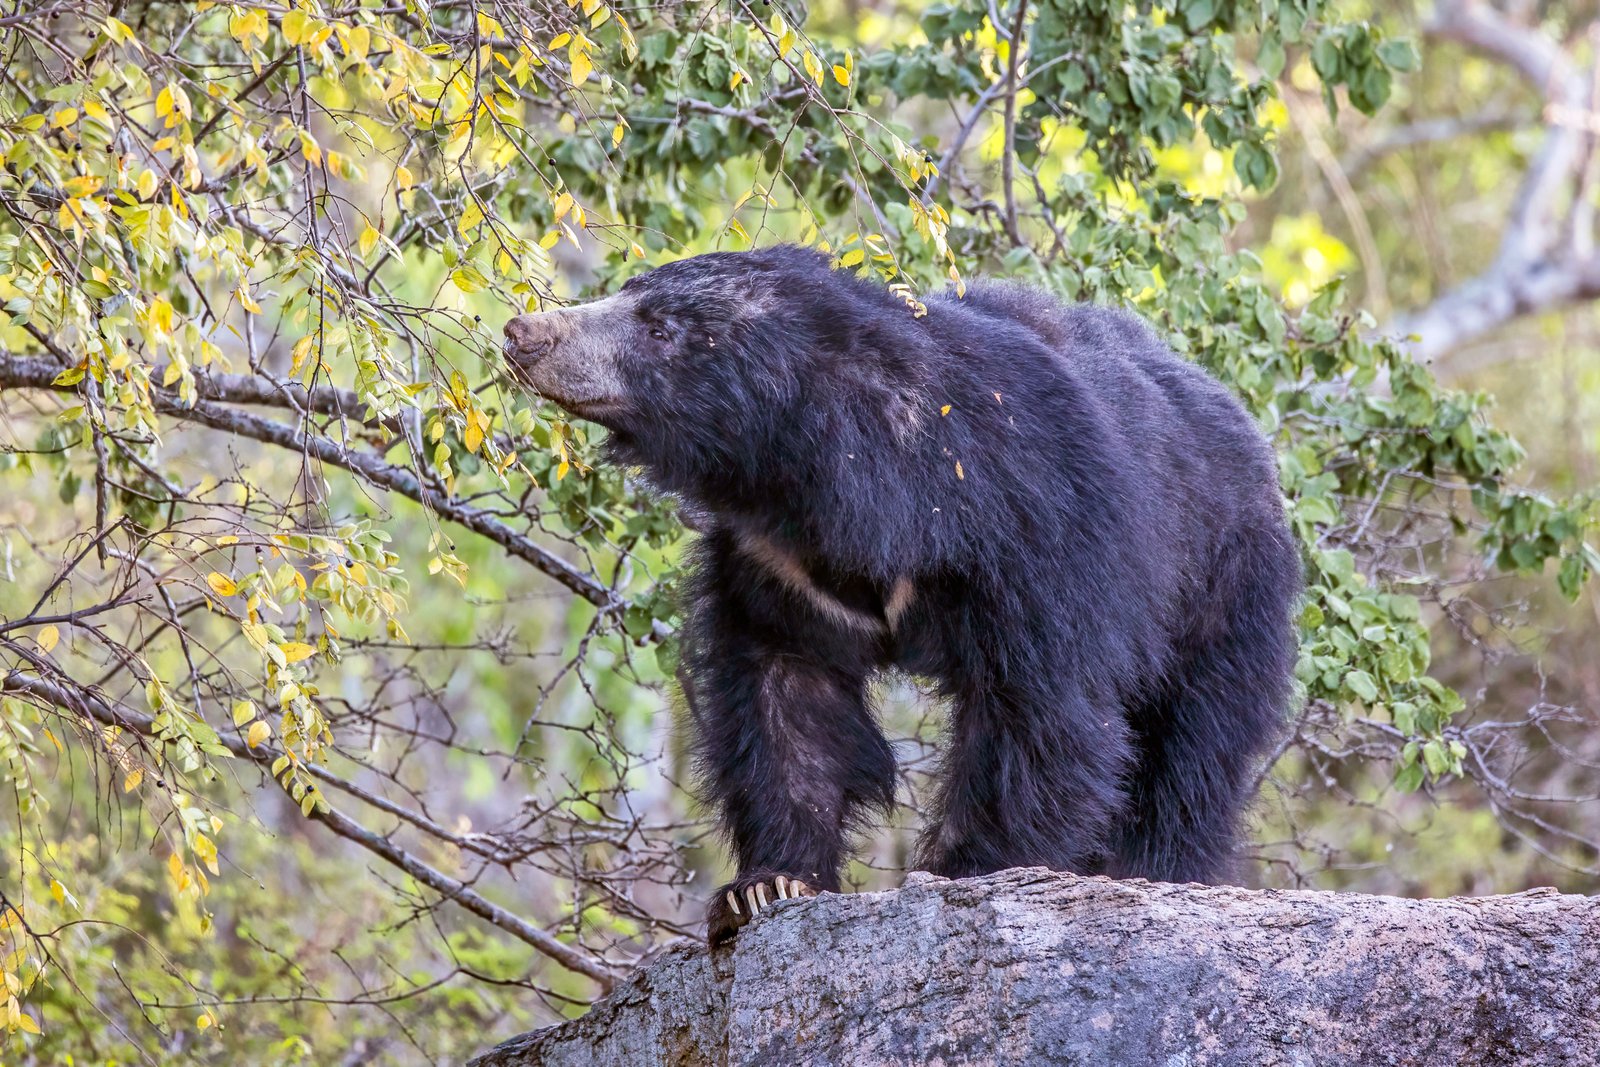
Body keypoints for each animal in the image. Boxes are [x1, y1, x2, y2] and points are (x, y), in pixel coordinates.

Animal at [501, 245, 1301, 945]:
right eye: (628, 293)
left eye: (660, 329)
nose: (523, 331)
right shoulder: (777, 565)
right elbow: (787, 696)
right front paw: (765, 886)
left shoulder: (1035, 530)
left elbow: (1040, 708)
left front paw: (967, 870)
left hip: (1224, 591)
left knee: (1192, 752)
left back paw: (1159, 869)